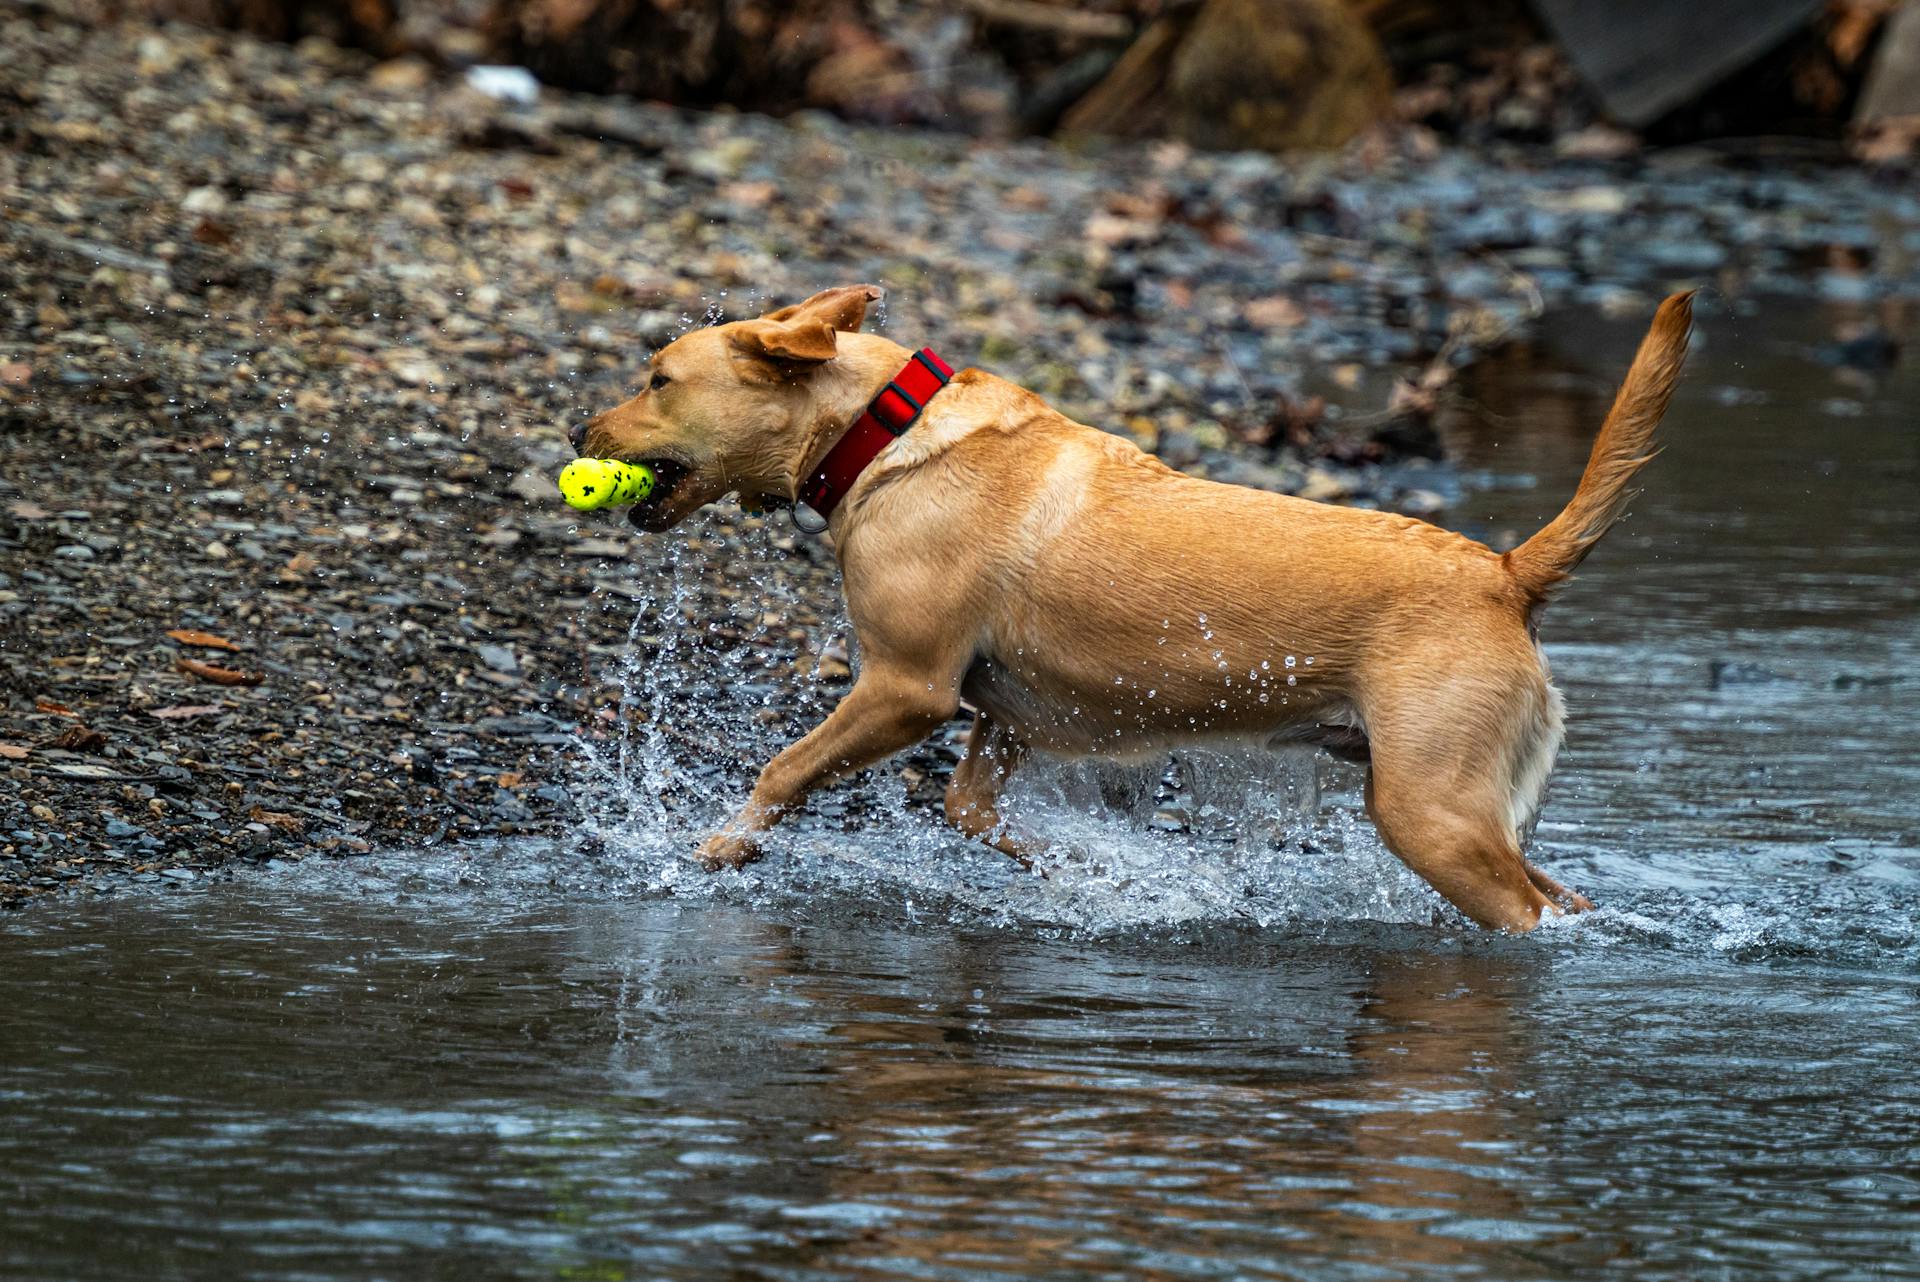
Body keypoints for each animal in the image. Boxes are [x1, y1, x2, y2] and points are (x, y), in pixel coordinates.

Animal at [572, 285, 1697, 932]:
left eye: (658, 378)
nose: (579, 428)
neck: (885, 433)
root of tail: (1503, 570)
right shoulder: (1003, 715)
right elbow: (974, 814)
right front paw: (1092, 876)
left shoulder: (906, 690)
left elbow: (783, 769)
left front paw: (719, 849)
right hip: (1465, 805)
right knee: (1561, 895)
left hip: (1433, 816)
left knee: (1530, 915)